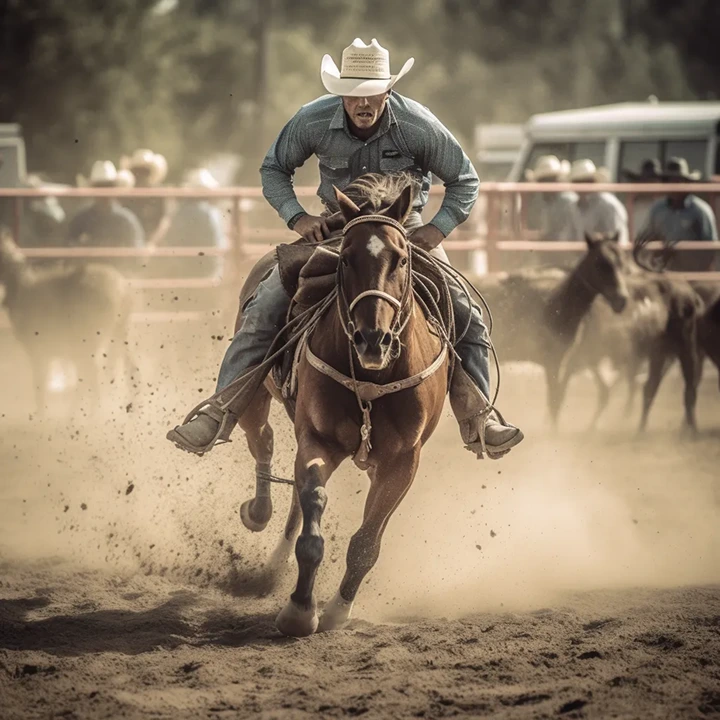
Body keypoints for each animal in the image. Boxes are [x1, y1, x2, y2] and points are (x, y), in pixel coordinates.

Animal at [0, 230, 137, 414]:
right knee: (129, 371)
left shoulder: (39, 353)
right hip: (119, 334)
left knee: (95, 376)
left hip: (92, 341)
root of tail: (122, 288)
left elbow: (41, 386)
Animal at [231, 177, 450, 637]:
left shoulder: (403, 461)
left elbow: (366, 542)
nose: (373, 339)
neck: (372, 379)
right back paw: (259, 518)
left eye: (402, 259)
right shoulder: (317, 440)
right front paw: (299, 610)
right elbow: (312, 528)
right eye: (346, 259)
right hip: (255, 392)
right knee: (262, 440)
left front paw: (336, 611)